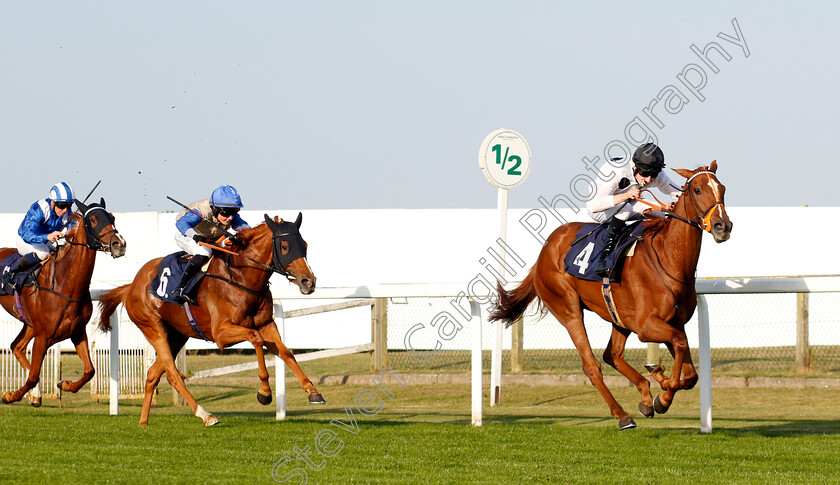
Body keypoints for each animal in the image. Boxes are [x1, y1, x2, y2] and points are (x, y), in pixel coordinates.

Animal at [0, 197, 126, 404]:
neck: (64, 285)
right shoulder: (43, 336)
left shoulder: (77, 331)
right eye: (93, 219)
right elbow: (33, 376)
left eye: (112, 217)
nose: (119, 244)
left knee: (17, 347)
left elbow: (90, 370)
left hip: (30, 323)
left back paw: (36, 395)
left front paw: (65, 384)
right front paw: (10, 395)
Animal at [97, 214, 324, 426]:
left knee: (153, 374)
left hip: (177, 334)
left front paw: (313, 391)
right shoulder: (221, 333)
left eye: (304, 245)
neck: (241, 278)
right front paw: (265, 393)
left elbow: (286, 352)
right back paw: (206, 415)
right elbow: (256, 338)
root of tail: (131, 286)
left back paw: (143, 421)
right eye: (285, 246)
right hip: (153, 328)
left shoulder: (267, 324)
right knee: (173, 375)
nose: (308, 281)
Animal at [488, 162, 732, 428]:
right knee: (592, 365)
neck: (669, 258)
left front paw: (659, 389)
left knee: (612, 354)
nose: (723, 226)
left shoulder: (674, 322)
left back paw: (645, 395)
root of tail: (545, 250)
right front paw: (663, 391)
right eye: (697, 190)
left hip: (618, 317)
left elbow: (690, 373)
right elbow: (679, 346)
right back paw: (622, 414)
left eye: (722, 189)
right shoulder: (646, 326)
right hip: (568, 308)